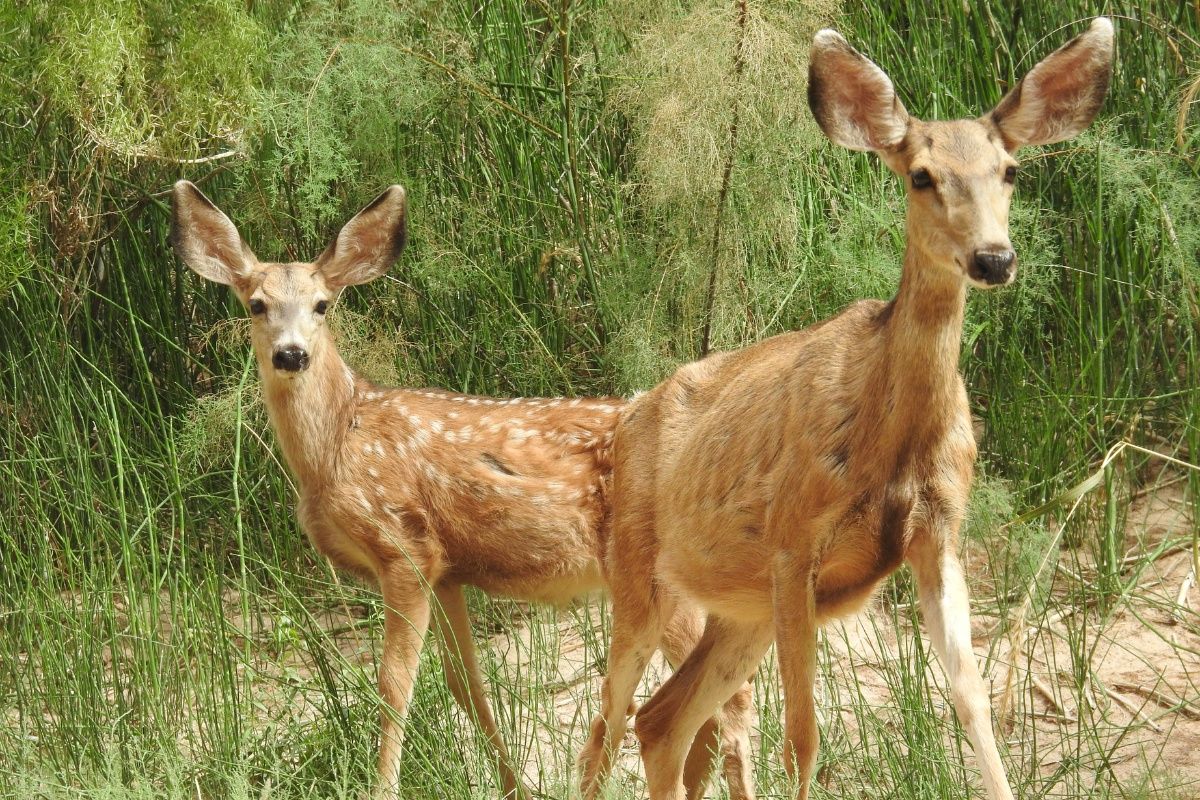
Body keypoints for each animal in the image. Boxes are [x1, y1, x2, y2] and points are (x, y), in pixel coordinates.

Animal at [169, 182, 757, 800]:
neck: (339, 442)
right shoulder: (448, 571)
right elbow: (466, 686)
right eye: (256, 304)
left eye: (322, 305)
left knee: (729, 699)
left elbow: (393, 684)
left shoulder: (404, 547)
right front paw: (514, 787)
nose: (290, 354)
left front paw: (383, 788)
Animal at [577, 17, 1114, 800]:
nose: (994, 258)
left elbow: (973, 703)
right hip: (637, 573)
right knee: (607, 726)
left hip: (739, 611)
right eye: (921, 175)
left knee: (663, 720)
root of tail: (626, 421)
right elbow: (804, 737)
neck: (890, 447)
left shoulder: (938, 536)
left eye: (1010, 171)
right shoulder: (794, 540)